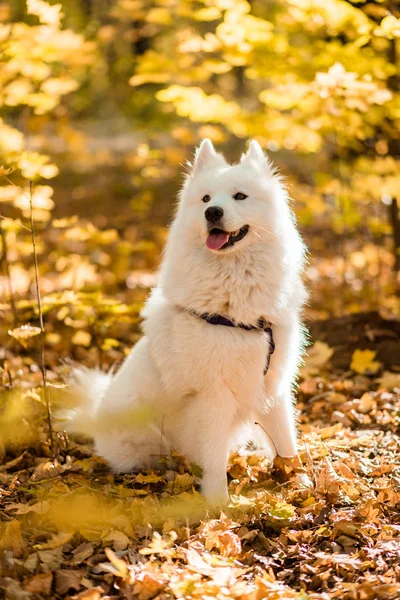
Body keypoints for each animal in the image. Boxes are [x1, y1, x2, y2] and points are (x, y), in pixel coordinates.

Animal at [66, 139, 310, 502]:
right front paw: (219, 503)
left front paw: (301, 483)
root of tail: (94, 419)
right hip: (144, 437)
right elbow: (212, 457)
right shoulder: (212, 395)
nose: (213, 213)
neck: (234, 291)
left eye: (240, 196)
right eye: (206, 199)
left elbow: (285, 441)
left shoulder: (272, 383)